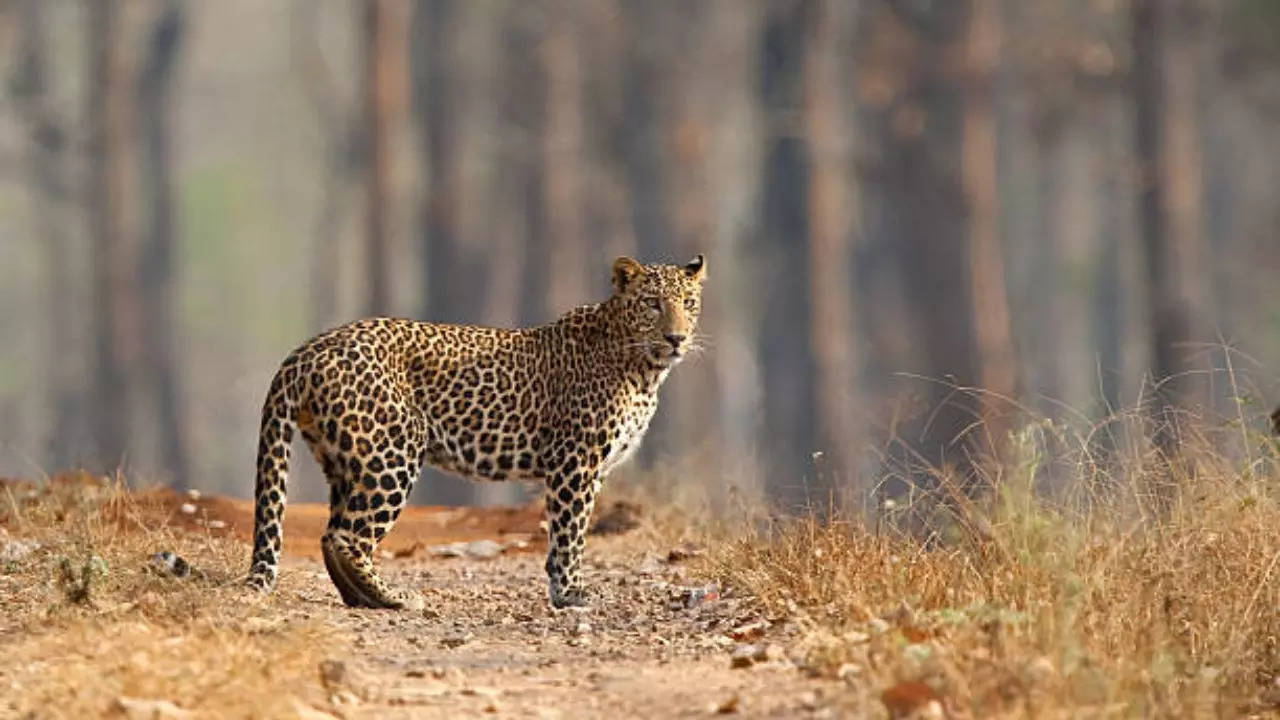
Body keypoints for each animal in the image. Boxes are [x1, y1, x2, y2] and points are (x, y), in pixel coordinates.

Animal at [244, 252, 706, 604]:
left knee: (330, 536)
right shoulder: (575, 462)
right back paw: (394, 598)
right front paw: (571, 592)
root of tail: (308, 349)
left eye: (689, 302)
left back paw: (363, 599)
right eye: (652, 303)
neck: (644, 370)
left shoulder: (588, 469)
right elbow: (571, 531)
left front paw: (561, 588)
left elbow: (567, 534)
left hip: (345, 459)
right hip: (391, 455)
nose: (676, 338)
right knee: (347, 537)